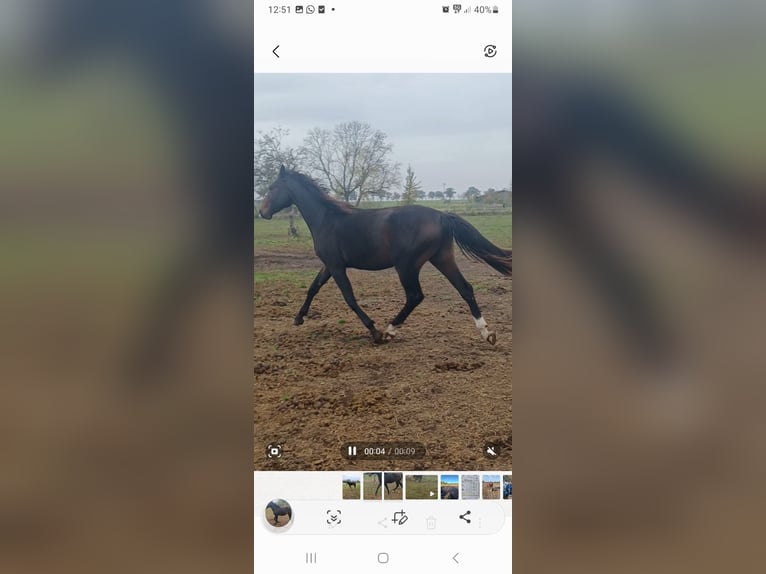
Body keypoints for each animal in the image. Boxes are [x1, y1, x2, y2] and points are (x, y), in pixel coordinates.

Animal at [259, 166, 512, 344]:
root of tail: (441, 215)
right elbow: (313, 288)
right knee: (465, 288)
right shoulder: (329, 265)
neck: (326, 219)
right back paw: (487, 334)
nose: (262, 212)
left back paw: (390, 331)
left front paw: (374, 331)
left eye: (272, 187)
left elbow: (349, 298)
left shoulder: (337, 266)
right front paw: (298, 318)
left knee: (415, 296)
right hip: (442, 258)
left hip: (407, 265)